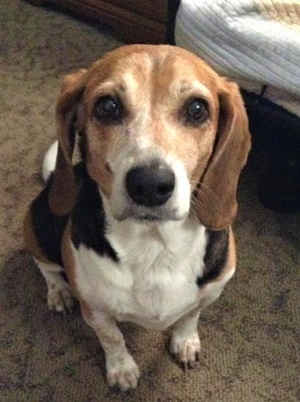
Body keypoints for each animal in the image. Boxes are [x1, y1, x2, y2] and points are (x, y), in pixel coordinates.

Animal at [24, 44, 252, 390]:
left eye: (197, 109)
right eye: (107, 106)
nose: (150, 184)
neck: (155, 245)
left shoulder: (211, 291)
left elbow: (190, 315)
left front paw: (185, 341)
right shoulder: (95, 310)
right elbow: (112, 339)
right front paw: (122, 369)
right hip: (36, 226)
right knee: (46, 268)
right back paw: (59, 292)